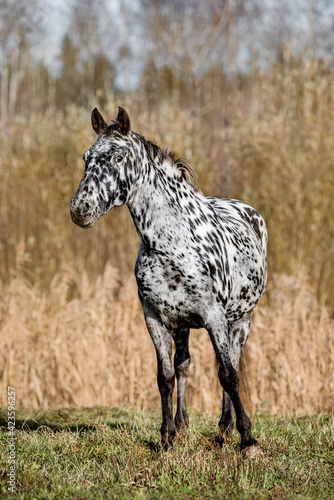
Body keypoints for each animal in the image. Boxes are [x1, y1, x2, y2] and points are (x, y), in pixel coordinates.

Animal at [70, 106, 268, 458]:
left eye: (118, 157)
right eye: (86, 157)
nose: (81, 210)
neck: (171, 243)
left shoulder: (215, 318)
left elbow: (228, 375)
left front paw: (248, 440)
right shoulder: (155, 318)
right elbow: (165, 376)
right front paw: (166, 438)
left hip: (241, 320)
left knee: (232, 362)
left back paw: (226, 428)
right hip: (183, 325)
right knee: (184, 364)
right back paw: (187, 425)